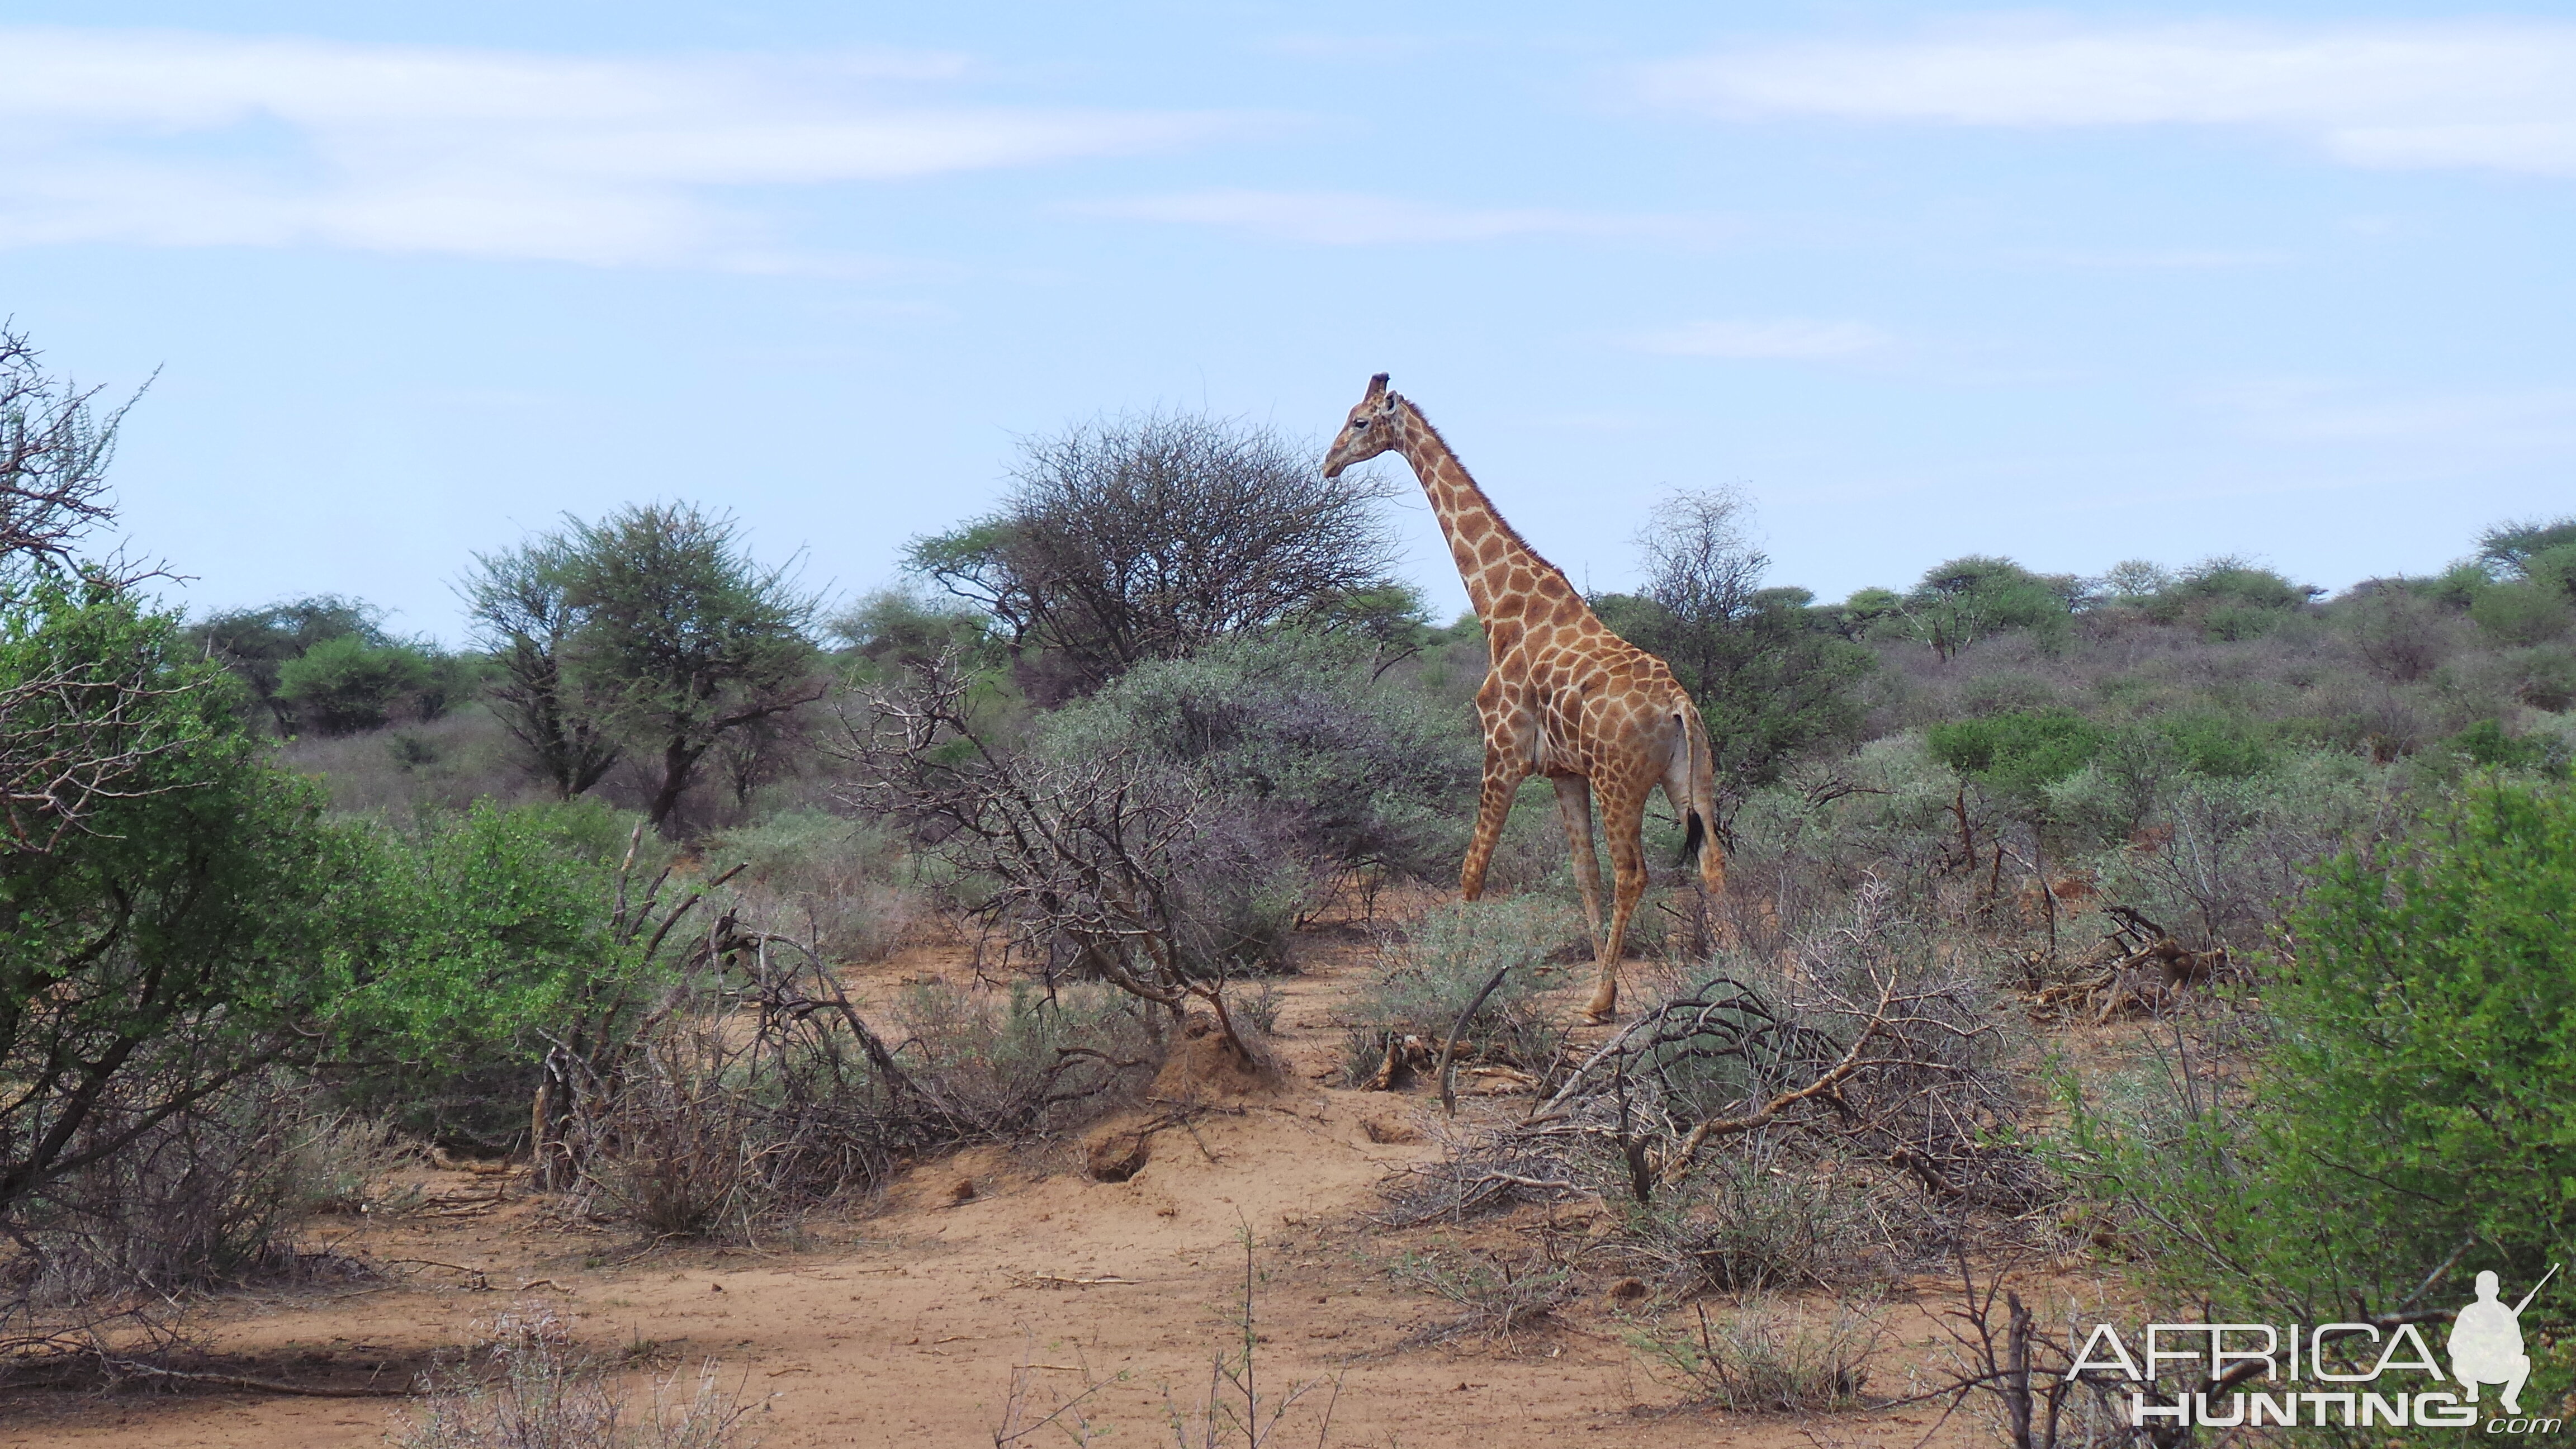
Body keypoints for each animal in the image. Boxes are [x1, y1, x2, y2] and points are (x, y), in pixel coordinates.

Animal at [1329, 378, 1731, 1021]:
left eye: (1361, 422)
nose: (1328, 464)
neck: (1500, 606)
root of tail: (1679, 707)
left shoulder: (1503, 751)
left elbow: (1473, 869)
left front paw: (1454, 978)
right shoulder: (1563, 772)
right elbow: (1582, 873)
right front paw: (1603, 983)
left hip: (1620, 781)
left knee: (1634, 873)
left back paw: (1599, 1000)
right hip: (1689, 774)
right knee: (1710, 861)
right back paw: (1737, 978)